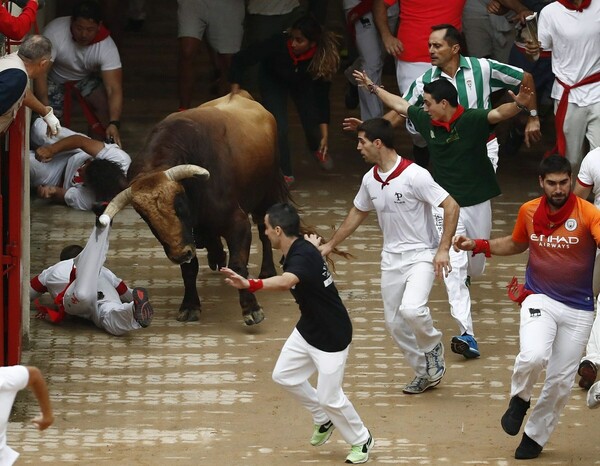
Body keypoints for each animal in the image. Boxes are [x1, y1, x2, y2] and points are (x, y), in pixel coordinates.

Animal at [101, 91, 288, 324]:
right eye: (144, 216)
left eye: (180, 204)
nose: (180, 254)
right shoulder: (186, 237)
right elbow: (190, 270)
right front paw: (190, 305)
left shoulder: (238, 223)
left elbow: (238, 265)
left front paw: (251, 308)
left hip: (267, 194)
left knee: (264, 230)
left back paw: (267, 269)